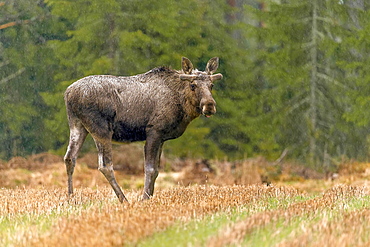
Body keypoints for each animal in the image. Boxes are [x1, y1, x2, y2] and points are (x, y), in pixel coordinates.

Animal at [63, 57, 223, 202]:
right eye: (193, 85)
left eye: (212, 85)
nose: (209, 105)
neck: (182, 105)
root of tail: (68, 93)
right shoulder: (154, 131)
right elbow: (150, 169)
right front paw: (144, 198)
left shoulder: (162, 138)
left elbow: (157, 170)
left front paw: (150, 196)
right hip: (101, 129)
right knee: (105, 166)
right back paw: (124, 200)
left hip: (78, 126)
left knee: (70, 157)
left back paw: (71, 197)